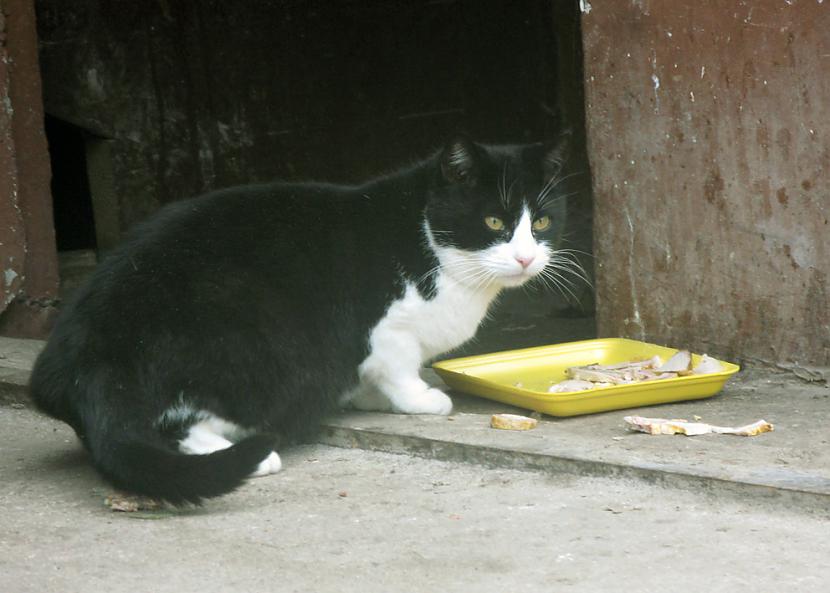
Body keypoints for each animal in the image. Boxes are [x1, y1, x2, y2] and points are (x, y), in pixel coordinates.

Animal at [30, 135, 580, 504]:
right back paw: (251, 455)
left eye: (542, 222)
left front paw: (366, 398)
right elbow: (398, 366)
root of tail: (88, 362)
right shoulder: (387, 328)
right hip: (262, 355)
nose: (527, 258)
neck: (434, 246)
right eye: (494, 221)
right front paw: (419, 399)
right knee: (175, 420)